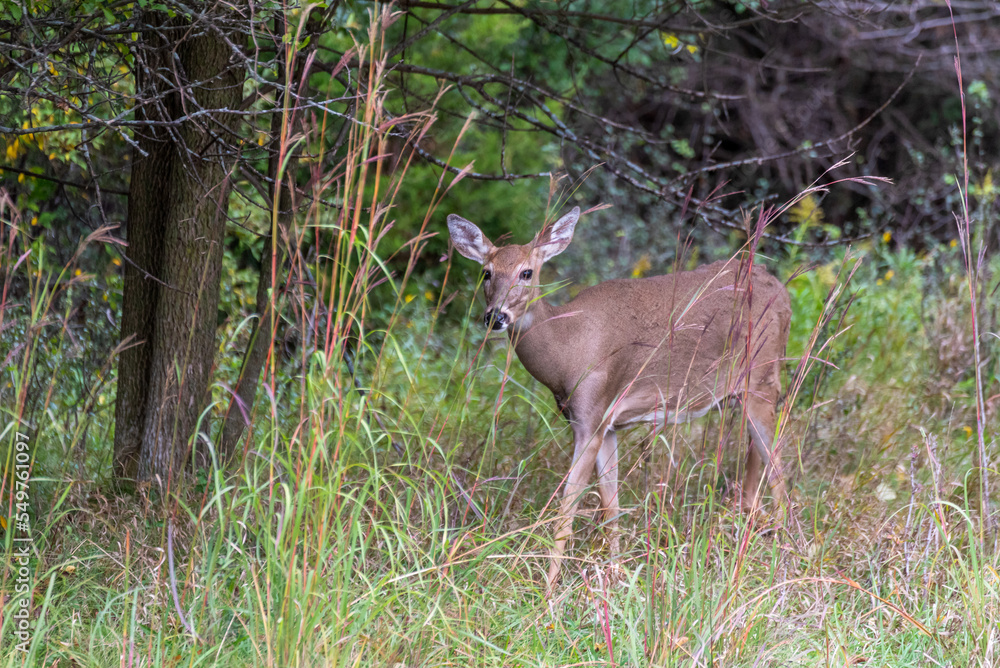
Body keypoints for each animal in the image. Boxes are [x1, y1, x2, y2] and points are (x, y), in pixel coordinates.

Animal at [447, 206, 792, 591]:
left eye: (527, 271)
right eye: (486, 272)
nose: (496, 316)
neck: (567, 347)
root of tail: (782, 292)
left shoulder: (591, 417)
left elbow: (567, 510)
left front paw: (548, 592)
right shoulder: (605, 424)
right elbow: (610, 506)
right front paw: (615, 575)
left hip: (762, 377)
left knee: (779, 472)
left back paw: (785, 558)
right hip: (747, 391)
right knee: (758, 463)